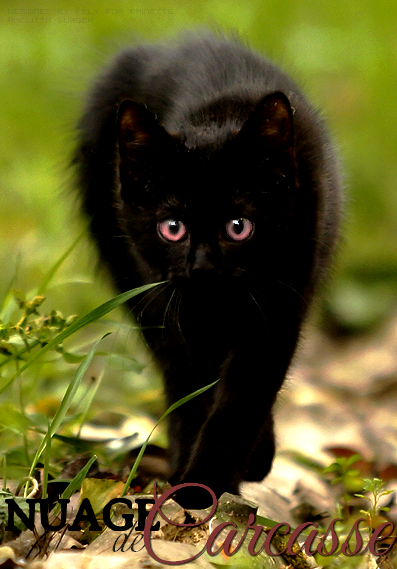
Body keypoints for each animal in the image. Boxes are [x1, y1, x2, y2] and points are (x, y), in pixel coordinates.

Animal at [74, 33, 340, 508]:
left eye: (238, 226)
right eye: (172, 227)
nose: (201, 266)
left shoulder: (279, 299)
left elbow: (242, 395)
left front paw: (209, 481)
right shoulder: (170, 301)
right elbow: (197, 385)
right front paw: (197, 478)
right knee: (176, 370)